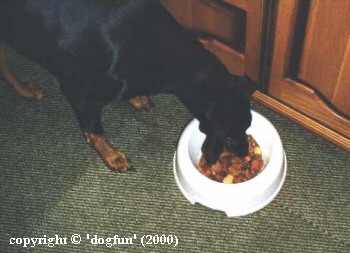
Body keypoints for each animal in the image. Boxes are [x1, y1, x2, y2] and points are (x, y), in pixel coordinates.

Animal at [1, 0, 256, 171]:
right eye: (230, 138)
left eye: (247, 126)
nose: (244, 153)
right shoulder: (78, 91)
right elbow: (94, 131)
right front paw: (112, 156)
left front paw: (137, 98)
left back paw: (25, 89)